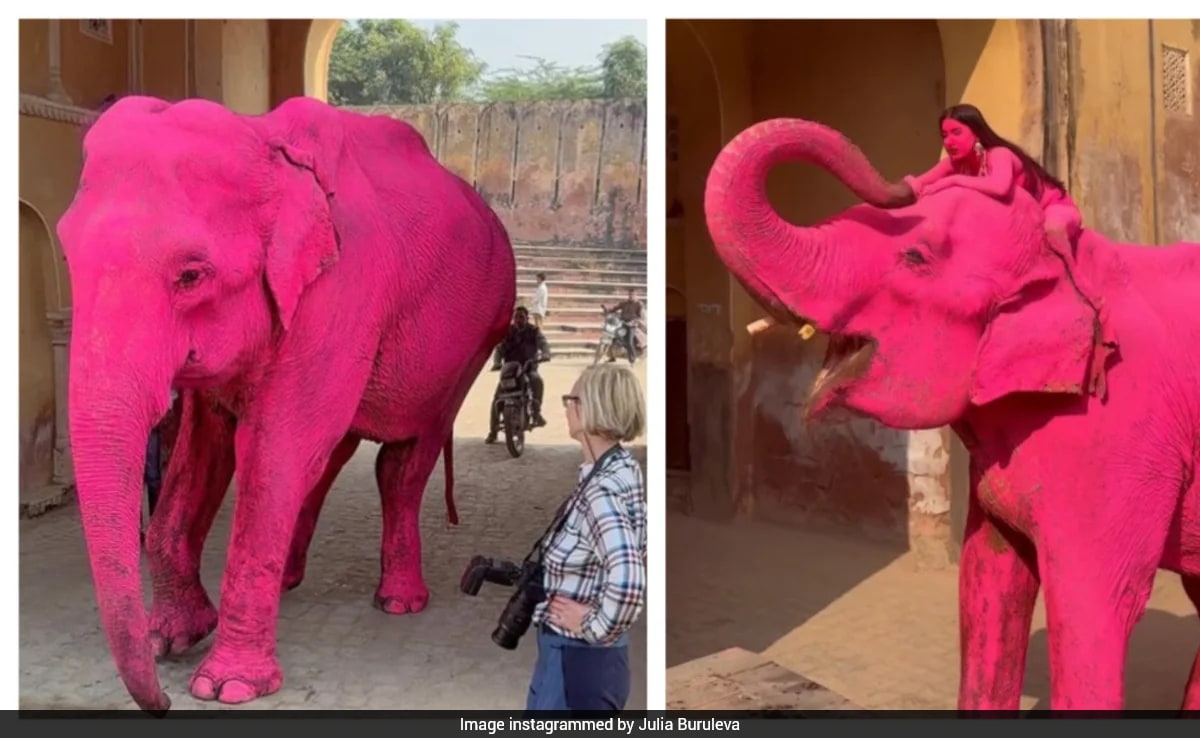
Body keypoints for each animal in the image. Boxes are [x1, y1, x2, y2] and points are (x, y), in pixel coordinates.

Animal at [55, 95, 517, 712]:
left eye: (191, 276)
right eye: (68, 258)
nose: (162, 702)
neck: (265, 141)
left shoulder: (341, 291)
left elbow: (273, 449)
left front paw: (226, 686)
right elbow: (206, 450)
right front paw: (169, 639)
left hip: (476, 340)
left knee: (401, 459)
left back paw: (399, 602)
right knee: (332, 455)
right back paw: (292, 581)